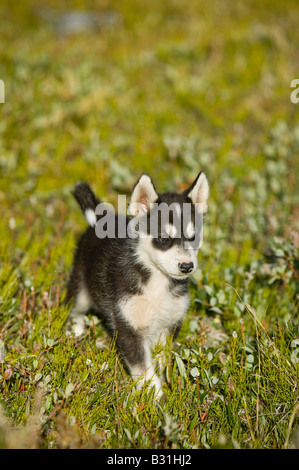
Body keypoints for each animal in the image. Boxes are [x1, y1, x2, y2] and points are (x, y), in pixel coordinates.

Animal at [67, 171, 210, 398]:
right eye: (163, 238)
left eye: (193, 237)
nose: (187, 266)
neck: (158, 281)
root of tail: (99, 221)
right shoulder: (128, 325)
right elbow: (143, 368)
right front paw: (154, 396)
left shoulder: (169, 324)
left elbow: (162, 358)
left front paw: (166, 381)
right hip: (80, 285)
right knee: (74, 307)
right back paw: (76, 331)